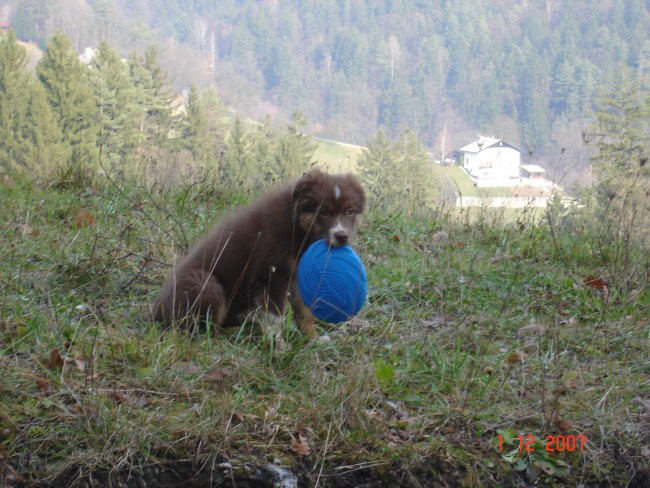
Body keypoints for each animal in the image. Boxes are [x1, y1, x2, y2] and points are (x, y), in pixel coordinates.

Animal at [151, 168, 364, 336]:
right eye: (324, 212)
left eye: (350, 211)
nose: (342, 236)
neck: (297, 228)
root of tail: (155, 311)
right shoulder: (270, 276)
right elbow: (275, 318)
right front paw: (277, 348)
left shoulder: (295, 277)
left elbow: (304, 313)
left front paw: (312, 340)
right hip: (205, 285)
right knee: (199, 326)